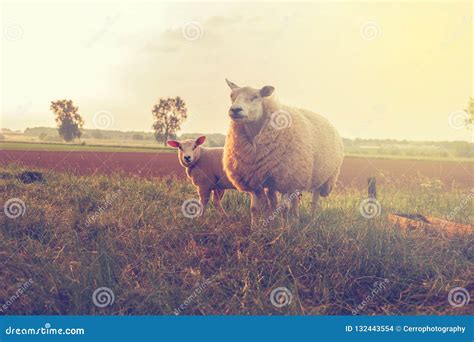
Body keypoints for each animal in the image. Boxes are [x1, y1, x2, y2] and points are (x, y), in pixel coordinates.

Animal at [222, 80, 344, 224]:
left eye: (256, 97)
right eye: (232, 96)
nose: (235, 110)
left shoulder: (286, 178)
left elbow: (284, 208)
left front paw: (284, 227)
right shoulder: (254, 179)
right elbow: (255, 208)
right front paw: (257, 227)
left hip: (322, 177)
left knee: (314, 199)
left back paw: (311, 218)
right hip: (295, 177)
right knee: (292, 200)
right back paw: (295, 219)